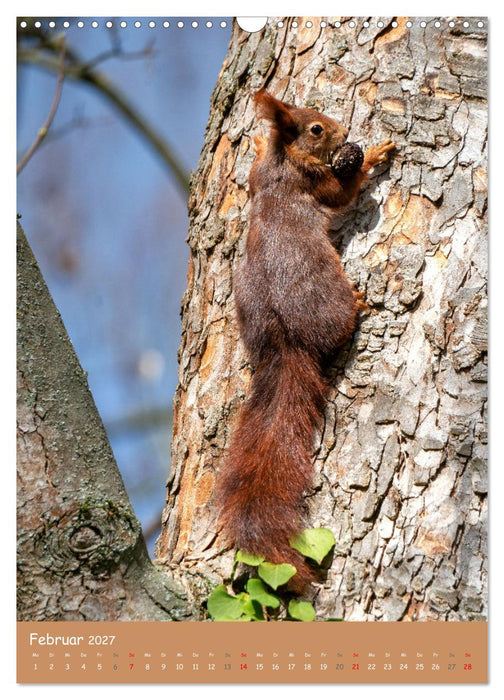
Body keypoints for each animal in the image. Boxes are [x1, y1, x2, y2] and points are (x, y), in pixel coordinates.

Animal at [215, 88, 395, 592]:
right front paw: (373, 155)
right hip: (326, 300)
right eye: (316, 129)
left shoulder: (261, 179)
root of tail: (286, 342)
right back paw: (359, 305)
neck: (285, 160)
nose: (343, 130)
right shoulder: (314, 184)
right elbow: (344, 193)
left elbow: (251, 176)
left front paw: (257, 143)